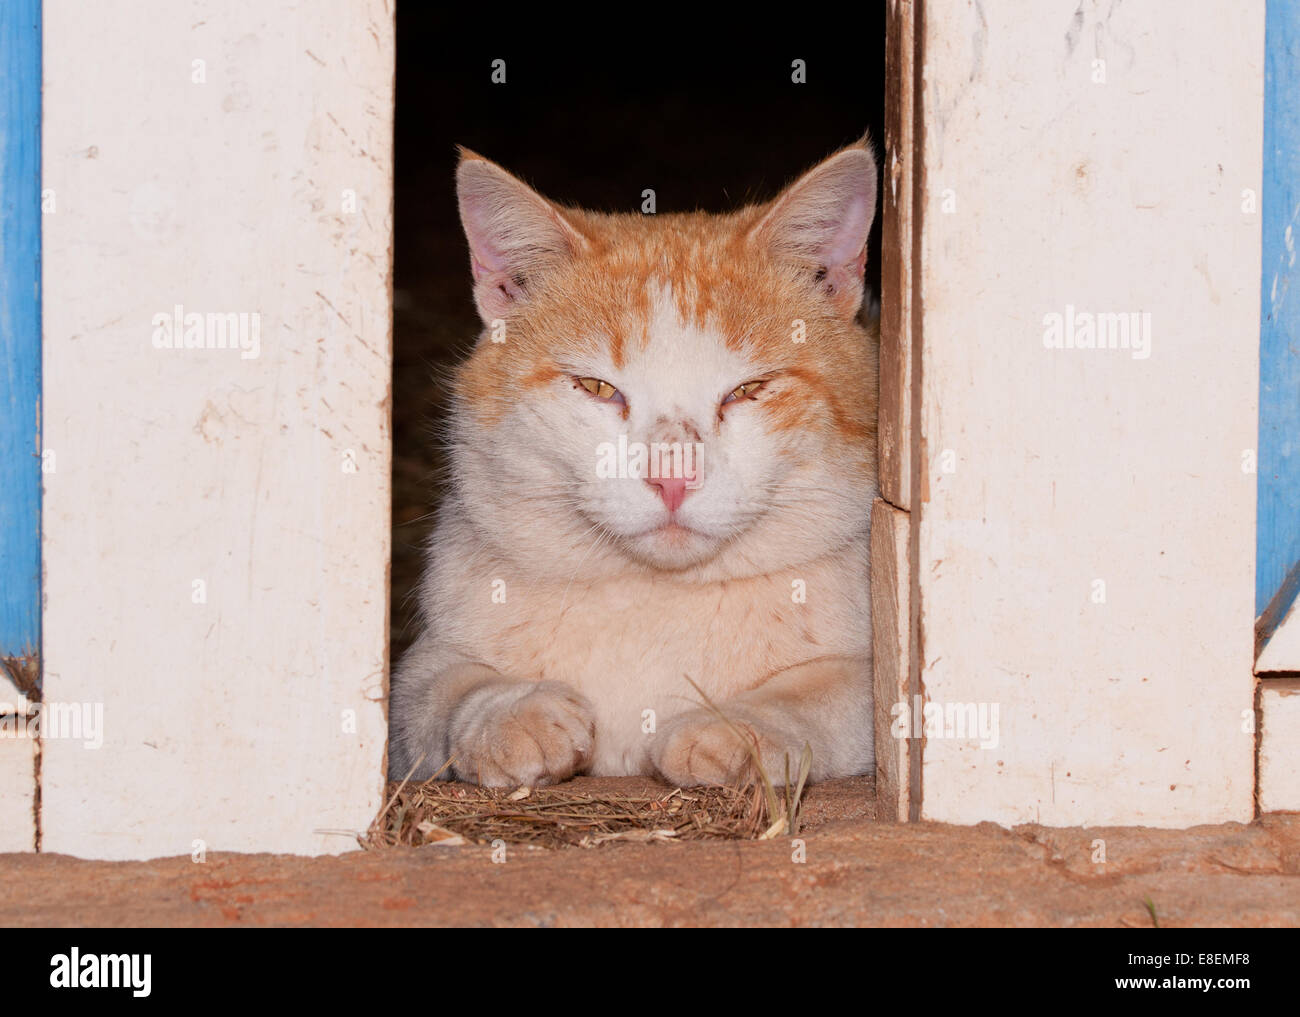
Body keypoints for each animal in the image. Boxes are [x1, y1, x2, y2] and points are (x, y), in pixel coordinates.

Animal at [382, 139, 873, 790]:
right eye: (596, 388)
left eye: (749, 390)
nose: (672, 477)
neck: (654, 597)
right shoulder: (415, 681)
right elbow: (442, 689)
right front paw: (510, 714)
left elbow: (832, 694)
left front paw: (739, 727)